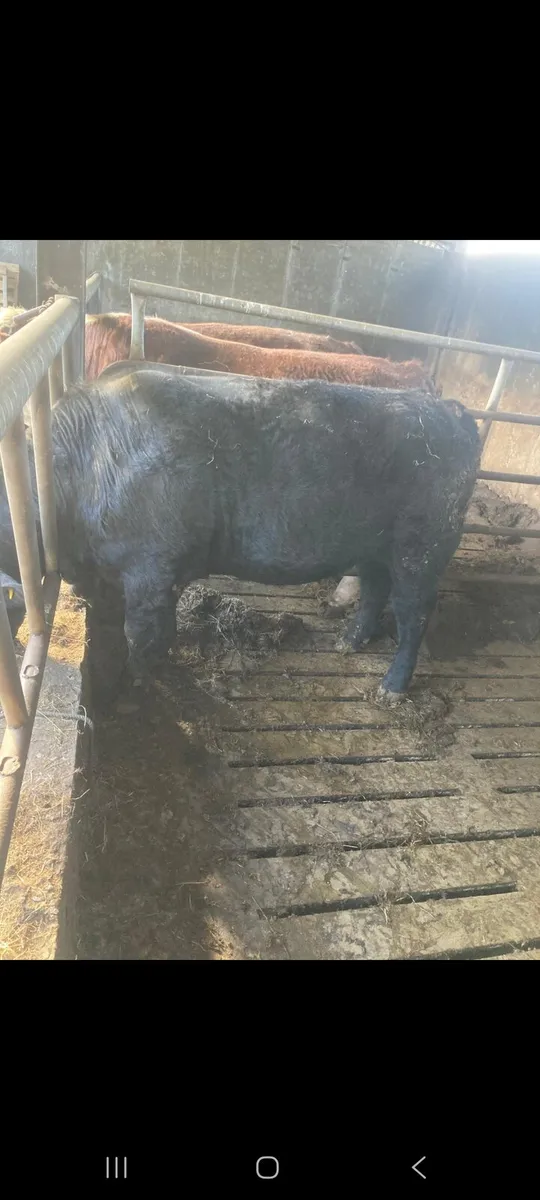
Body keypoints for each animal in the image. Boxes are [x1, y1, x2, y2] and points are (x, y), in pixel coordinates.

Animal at [0, 365, 480, 706]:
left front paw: (137, 687)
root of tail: (449, 410)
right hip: (375, 545)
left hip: (421, 549)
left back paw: (392, 688)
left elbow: (144, 635)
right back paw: (348, 642)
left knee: (414, 613)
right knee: (376, 589)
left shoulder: (152, 570)